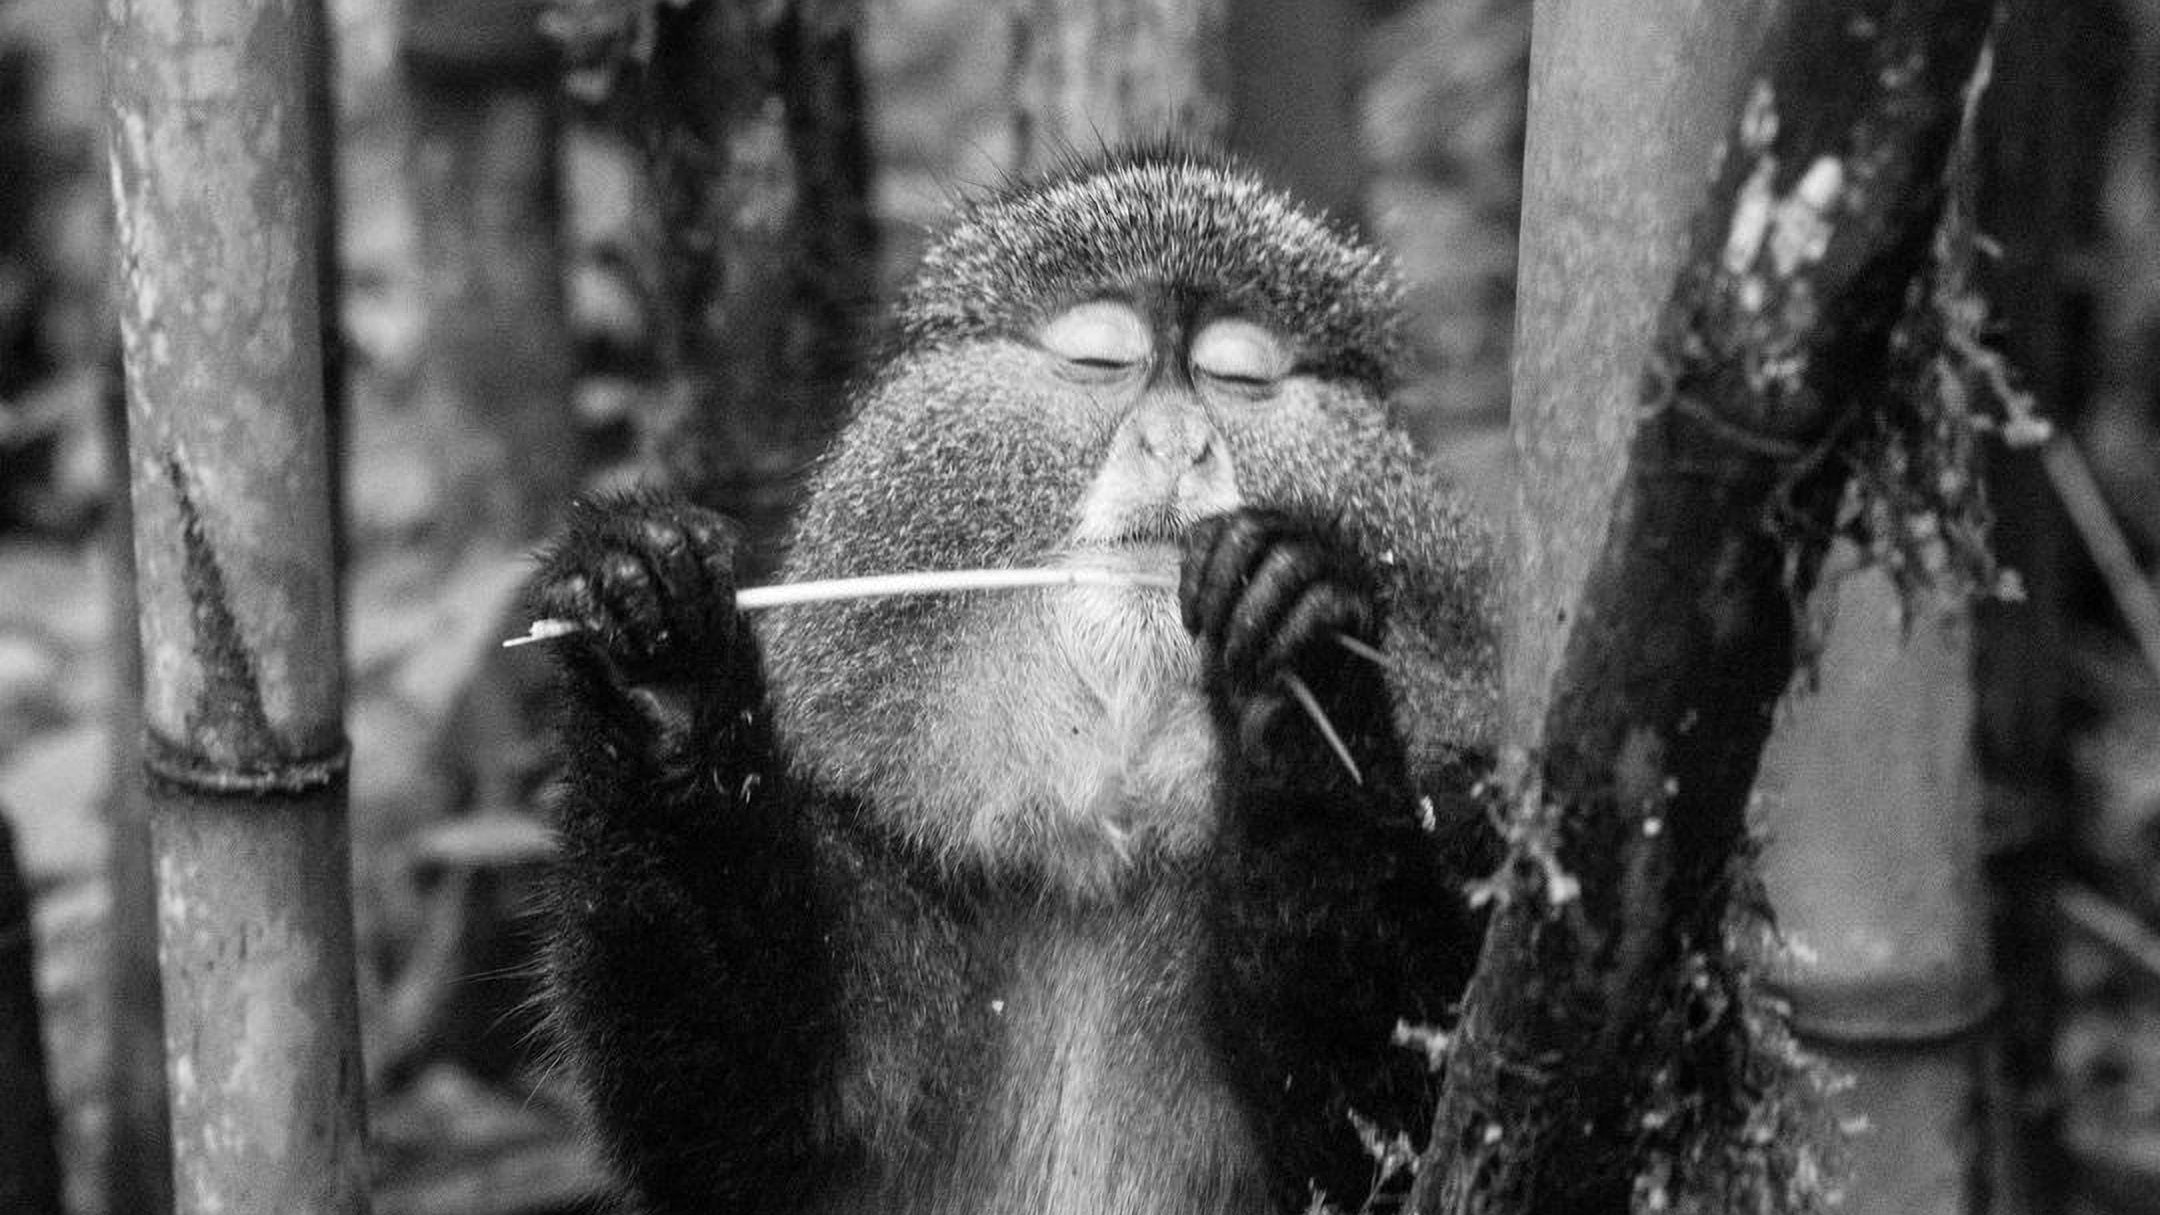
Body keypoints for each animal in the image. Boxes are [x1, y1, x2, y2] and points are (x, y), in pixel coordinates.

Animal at [528, 146, 1502, 1215]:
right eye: (1102, 360)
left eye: (1236, 374)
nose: (1179, 442)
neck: (1105, 841)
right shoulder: (866, 834)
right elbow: (740, 1136)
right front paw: (660, 659)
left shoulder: (1473, 806)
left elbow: (1398, 1132)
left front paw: (1298, 637)